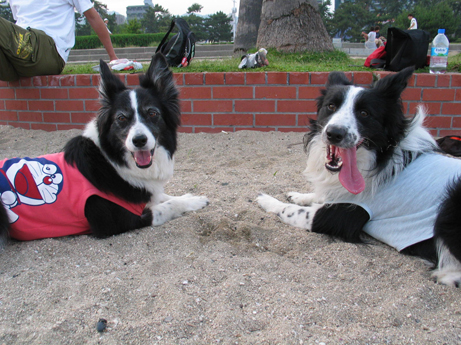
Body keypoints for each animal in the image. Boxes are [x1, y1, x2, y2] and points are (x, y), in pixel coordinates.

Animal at [0, 53, 207, 246]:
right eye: (121, 118)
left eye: (152, 113)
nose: (139, 140)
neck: (111, 161)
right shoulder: (118, 221)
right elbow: (166, 206)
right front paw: (189, 201)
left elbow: (164, 196)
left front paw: (193, 198)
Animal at [256, 66, 460, 284]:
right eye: (331, 106)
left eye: (364, 113)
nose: (334, 133)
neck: (379, 159)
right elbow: (316, 196)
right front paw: (299, 195)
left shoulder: (339, 216)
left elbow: (290, 210)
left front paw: (267, 200)